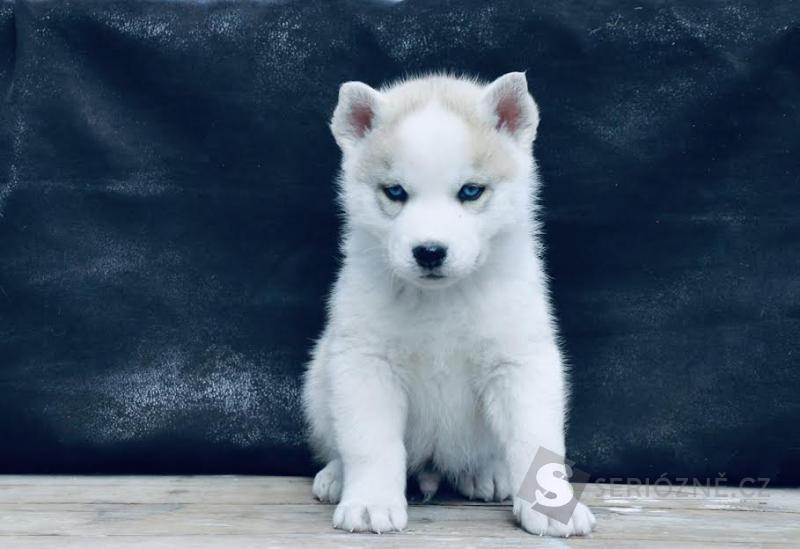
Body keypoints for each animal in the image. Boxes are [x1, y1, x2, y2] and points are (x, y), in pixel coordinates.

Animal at [302, 72, 596, 537]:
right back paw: (335, 476)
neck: (441, 299)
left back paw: (487, 473)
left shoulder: (521, 363)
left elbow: (535, 439)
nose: (429, 252)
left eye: (471, 191)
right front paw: (370, 503)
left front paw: (551, 507)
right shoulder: (366, 363)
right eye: (395, 192)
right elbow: (371, 444)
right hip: (319, 380)